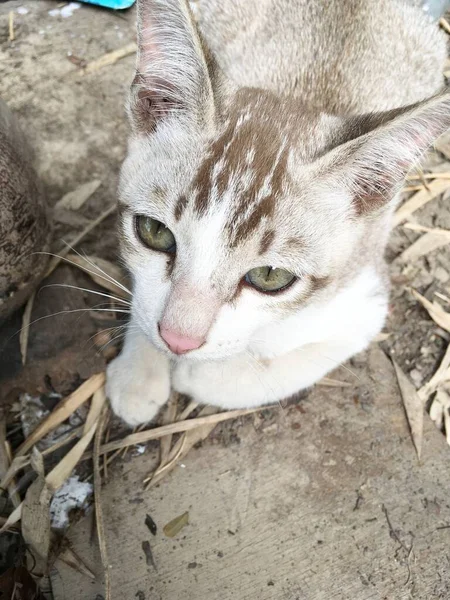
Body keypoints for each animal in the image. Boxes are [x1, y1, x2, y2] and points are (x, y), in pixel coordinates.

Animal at [107, 0, 450, 426]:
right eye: (154, 232)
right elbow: (142, 299)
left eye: (270, 276)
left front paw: (200, 373)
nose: (178, 340)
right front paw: (138, 371)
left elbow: (282, 365)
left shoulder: (366, 299)